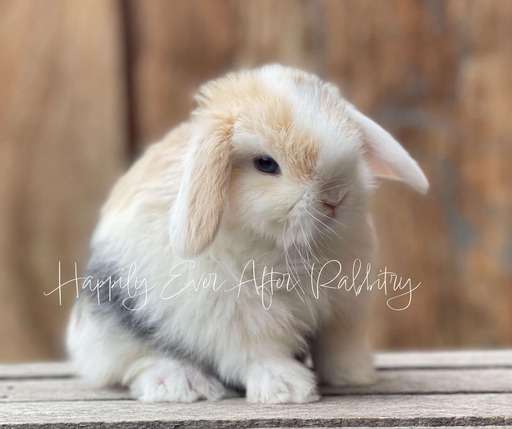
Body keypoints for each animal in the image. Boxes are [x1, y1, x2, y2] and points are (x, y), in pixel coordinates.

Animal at [67, 63, 428, 402]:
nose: (335, 198)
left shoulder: (343, 311)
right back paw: (182, 384)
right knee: (134, 362)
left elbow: (339, 346)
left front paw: (355, 376)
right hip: (116, 330)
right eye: (266, 164)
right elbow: (260, 353)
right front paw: (288, 389)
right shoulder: (241, 316)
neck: (290, 245)